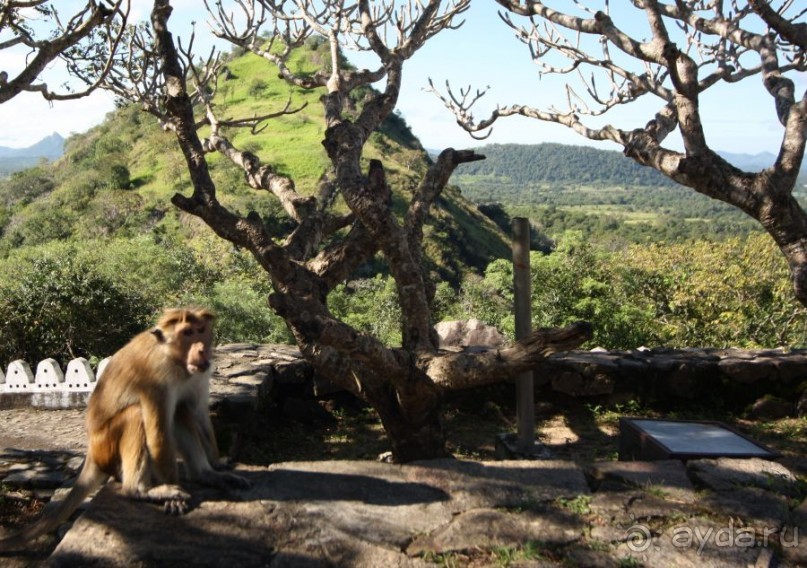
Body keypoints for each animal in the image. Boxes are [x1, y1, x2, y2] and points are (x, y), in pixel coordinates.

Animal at [0, 306, 251, 552]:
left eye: (201, 330)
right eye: (186, 333)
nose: (201, 349)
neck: (176, 362)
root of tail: (92, 452)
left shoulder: (200, 373)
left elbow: (197, 412)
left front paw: (217, 466)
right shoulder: (155, 378)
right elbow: (158, 433)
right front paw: (174, 491)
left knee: (180, 411)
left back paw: (203, 475)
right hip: (106, 447)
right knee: (136, 414)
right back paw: (140, 490)